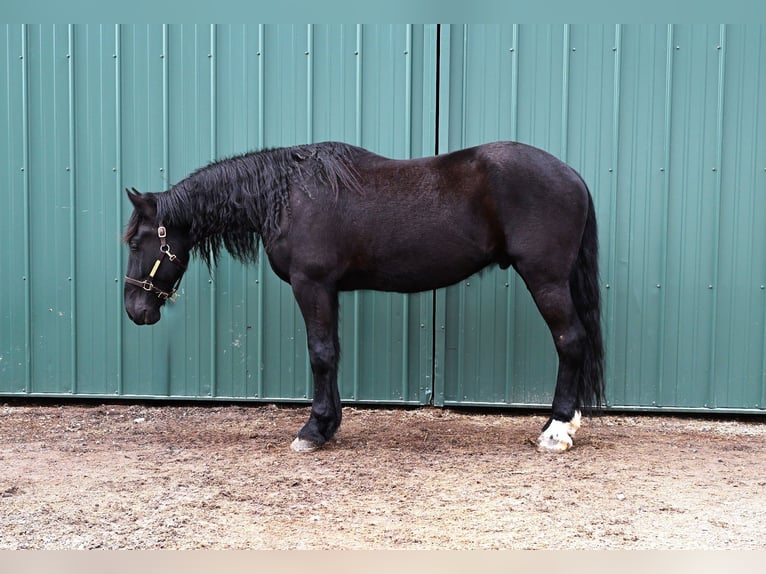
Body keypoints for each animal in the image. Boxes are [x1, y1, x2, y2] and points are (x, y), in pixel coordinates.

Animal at [123, 141, 604, 452]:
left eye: (137, 241)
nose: (135, 309)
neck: (289, 196)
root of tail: (573, 176)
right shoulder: (328, 290)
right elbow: (332, 353)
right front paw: (328, 425)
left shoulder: (311, 284)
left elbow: (319, 354)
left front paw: (312, 431)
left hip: (545, 279)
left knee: (570, 341)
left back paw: (556, 430)